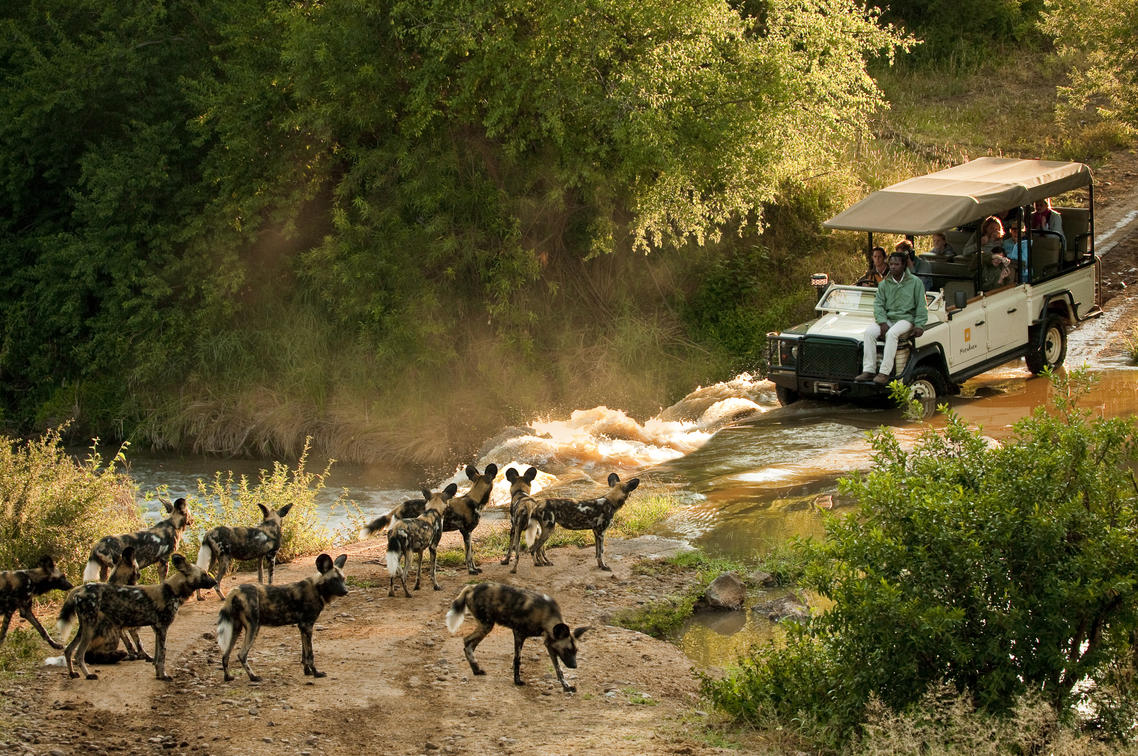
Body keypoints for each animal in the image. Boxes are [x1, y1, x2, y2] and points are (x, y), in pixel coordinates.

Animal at [60, 548, 216, 678]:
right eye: (204, 574)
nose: (214, 582)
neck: (172, 591)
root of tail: (80, 590)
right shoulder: (162, 628)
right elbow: (163, 654)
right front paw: (164, 675)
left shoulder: (156, 629)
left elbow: (156, 656)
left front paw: (158, 673)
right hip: (91, 627)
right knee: (79, 654)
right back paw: (88, 675)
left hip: (84, 627)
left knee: (68, 650)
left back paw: (73, 673)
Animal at [441, 580, 587, 692]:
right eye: (567, 650)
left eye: (576, 651)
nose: (574, 666)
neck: (546, 616)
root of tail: (471, 587)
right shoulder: (519, 634)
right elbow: (517, 660)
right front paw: (517, 681)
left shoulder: (550, 645)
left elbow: (558, 670)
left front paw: (566, 686)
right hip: (486, 626)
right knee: (467, 641)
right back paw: (476, 668)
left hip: (485, 627)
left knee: (469, 645)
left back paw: (476, 669)